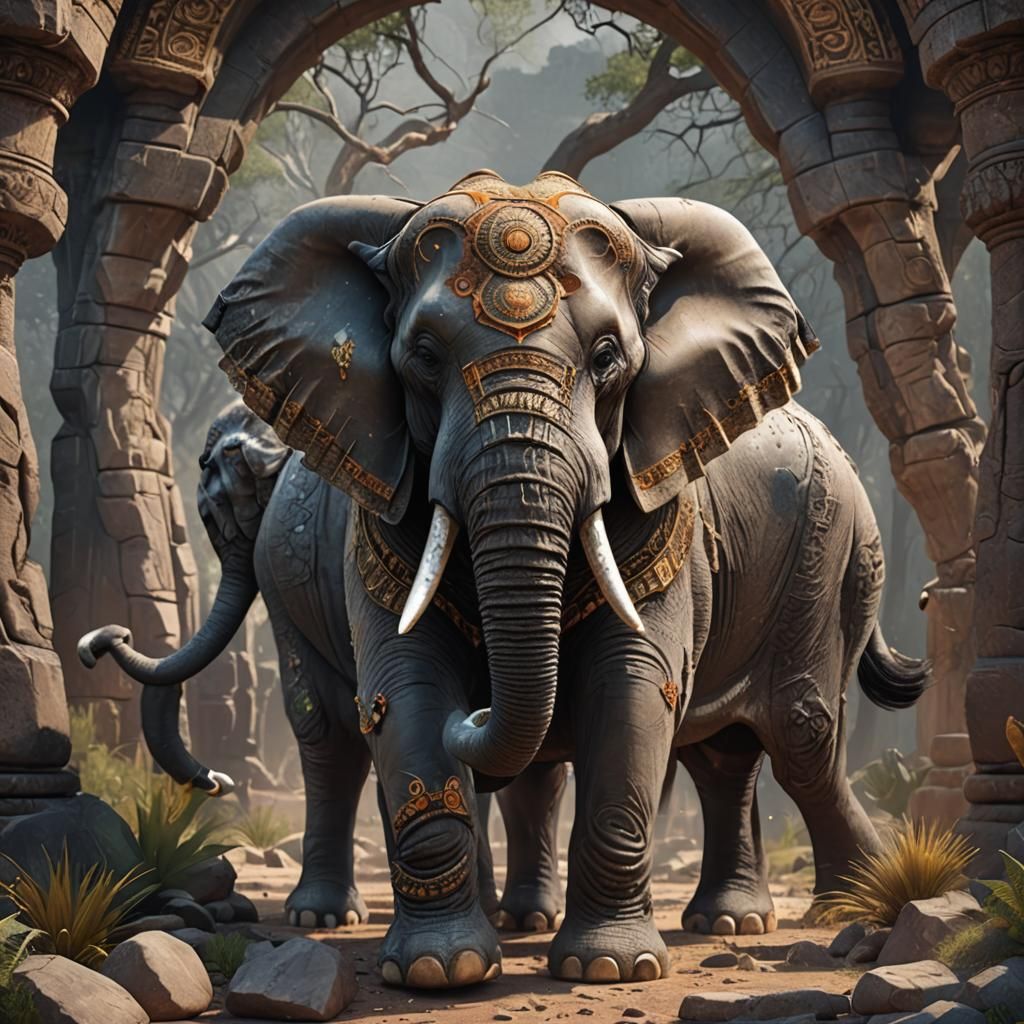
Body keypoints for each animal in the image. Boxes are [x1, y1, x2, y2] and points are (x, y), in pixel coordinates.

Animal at [80, 170, 927, 989]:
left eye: (608, 359)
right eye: (422, 356)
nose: (99, 640)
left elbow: (633, 681)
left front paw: (609, 967)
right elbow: (404, 684)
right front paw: (440, 968)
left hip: (830, 560)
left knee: (798, 733)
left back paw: (826, 915)